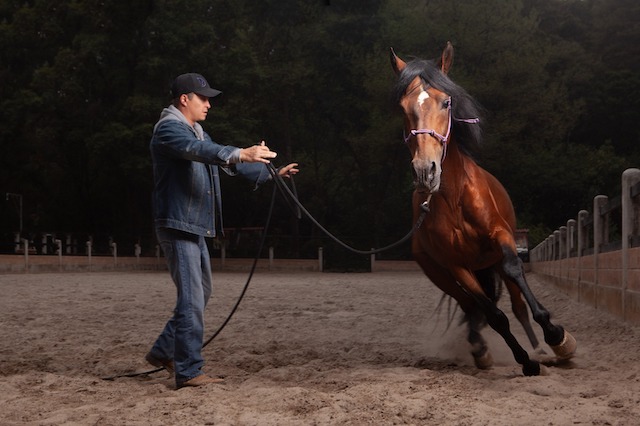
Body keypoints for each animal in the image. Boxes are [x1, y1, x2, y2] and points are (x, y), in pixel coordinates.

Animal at [390, 42, 576, 376]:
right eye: (402, 107)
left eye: (446, 102)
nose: (425, 171)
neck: (454, 199)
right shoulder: (456, 267)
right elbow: (492, 315)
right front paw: (525, 362)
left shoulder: (501, 237)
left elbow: (515, 274)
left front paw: (557, 336)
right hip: (443, 275)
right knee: (472, 307)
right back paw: (481, 350)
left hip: (493, 262)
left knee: (517, 304)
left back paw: (541, 347)